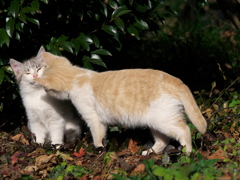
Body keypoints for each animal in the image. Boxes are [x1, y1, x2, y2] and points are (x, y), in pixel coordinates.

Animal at [34, 51, 207, 155]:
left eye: (47, 89)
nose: (45, 92)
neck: (77, 76)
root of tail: (175, 79)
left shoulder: (94, 119)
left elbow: (97, 137)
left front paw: (98, 150)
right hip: (155, 122)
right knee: (163, 140)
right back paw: (150, 153)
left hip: (163, 120)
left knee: (185, 130)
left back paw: (187, 153)